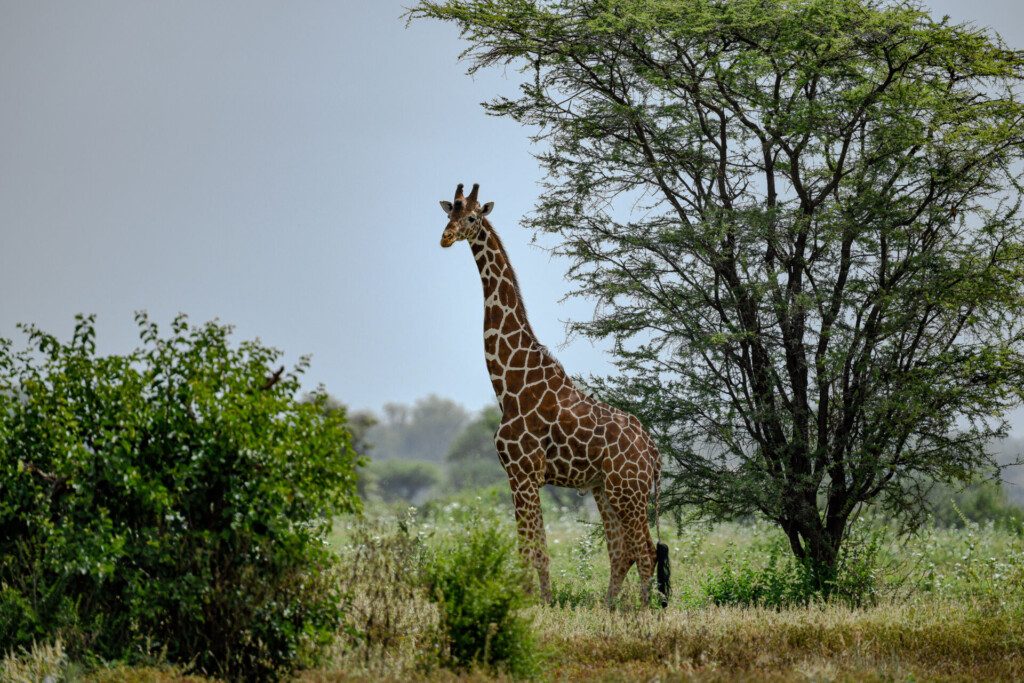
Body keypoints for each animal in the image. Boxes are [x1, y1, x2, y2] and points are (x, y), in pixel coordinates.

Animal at [440, 183, 671, 610]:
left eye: (473, 217)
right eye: (449, 214)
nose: (445, 238)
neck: (510, 382)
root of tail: (654, 453)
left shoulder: (523, 471)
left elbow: (530, 548)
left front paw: (531, 602)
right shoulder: (521, 475)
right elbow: (536, 546)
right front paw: (542, 600)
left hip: (627, 491)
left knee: (646, 550)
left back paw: (644, 611)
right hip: (605, 489)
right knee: (623, 551)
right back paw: (608, 608)